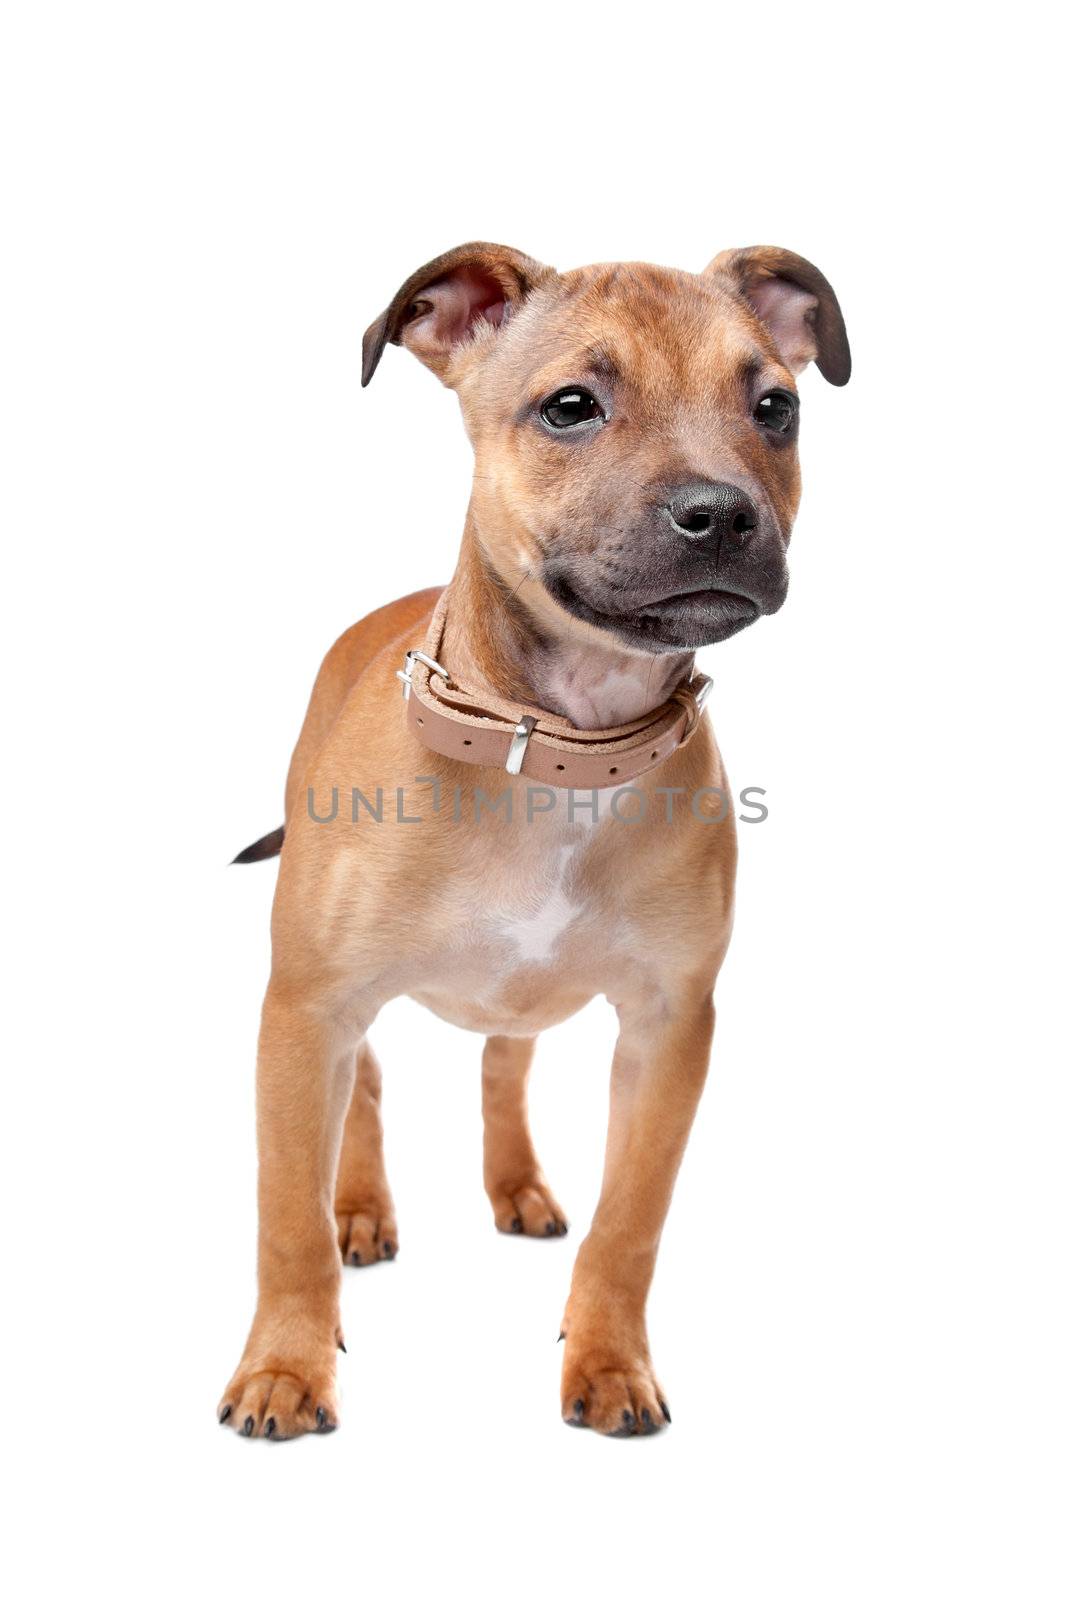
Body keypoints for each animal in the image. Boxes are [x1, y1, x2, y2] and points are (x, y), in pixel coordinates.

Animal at [219, 243, 851, 1446]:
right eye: (569, 407)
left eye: (775, 408)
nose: (721, 513)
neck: (553, 747)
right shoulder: (305, 1008)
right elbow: (284, 1217)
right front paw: (283, 1366)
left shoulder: (668, 1029)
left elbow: (630, 1222)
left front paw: (607, 1361)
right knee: (365, 1096)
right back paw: (361, 1208)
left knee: (500, 1064)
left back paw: (514, 1185)